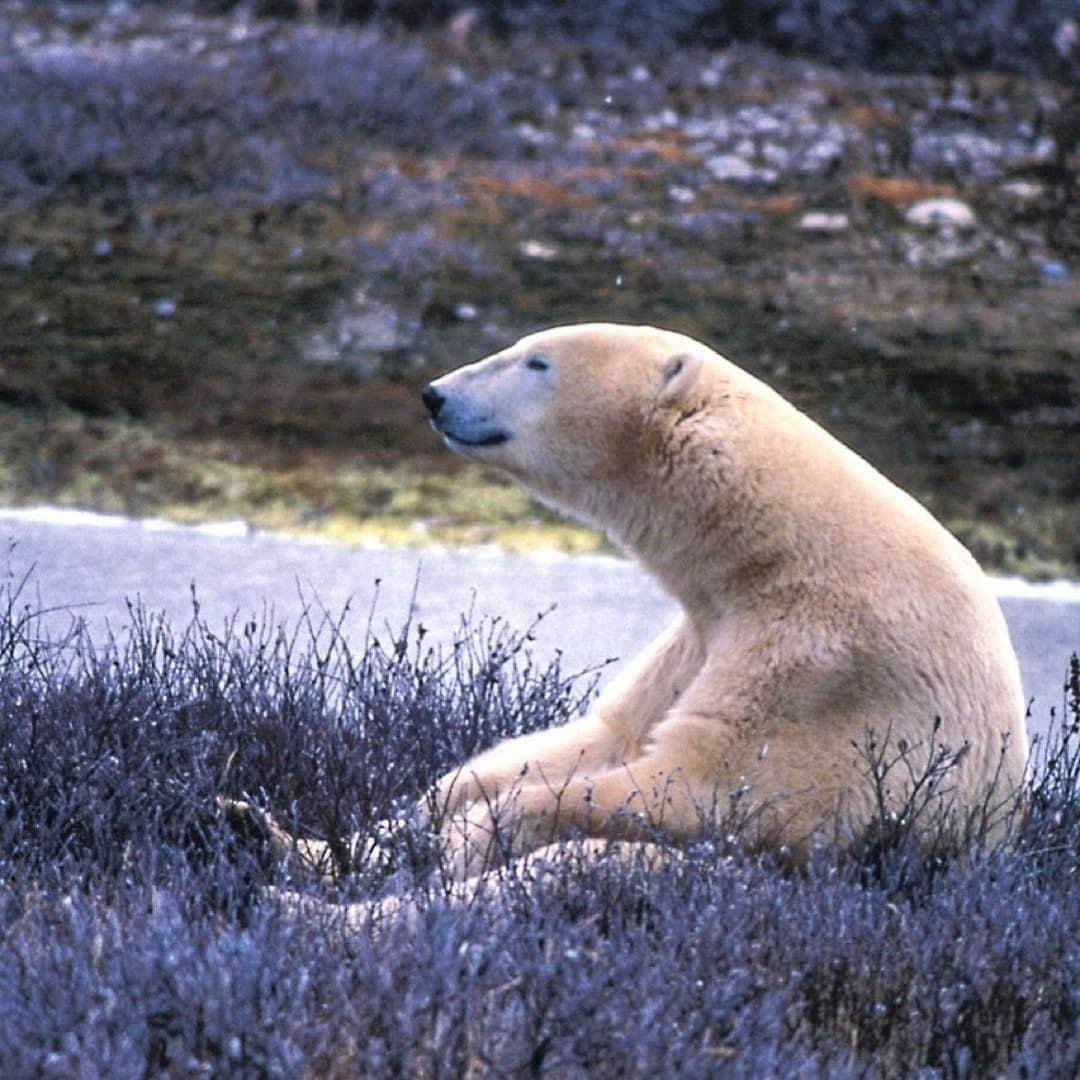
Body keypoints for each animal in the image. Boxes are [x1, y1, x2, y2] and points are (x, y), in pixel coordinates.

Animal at [414, 319, 1028, 876]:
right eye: (521, 348)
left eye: (537, 362)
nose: (435, 394)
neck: (776, 547)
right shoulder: (697, 636)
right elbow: (608, 735)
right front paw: (421, 811)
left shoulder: (822, 665)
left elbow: (713, 781)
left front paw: (473, 835)